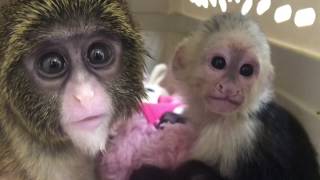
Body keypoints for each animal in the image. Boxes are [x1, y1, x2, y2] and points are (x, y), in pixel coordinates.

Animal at [131, 13, 320, 180]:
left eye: (246, 70)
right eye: (219, 63)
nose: (230, 88)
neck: (231, 117)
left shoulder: (235, 136)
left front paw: (146, 173)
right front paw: (174, 118)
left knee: (195, 171)